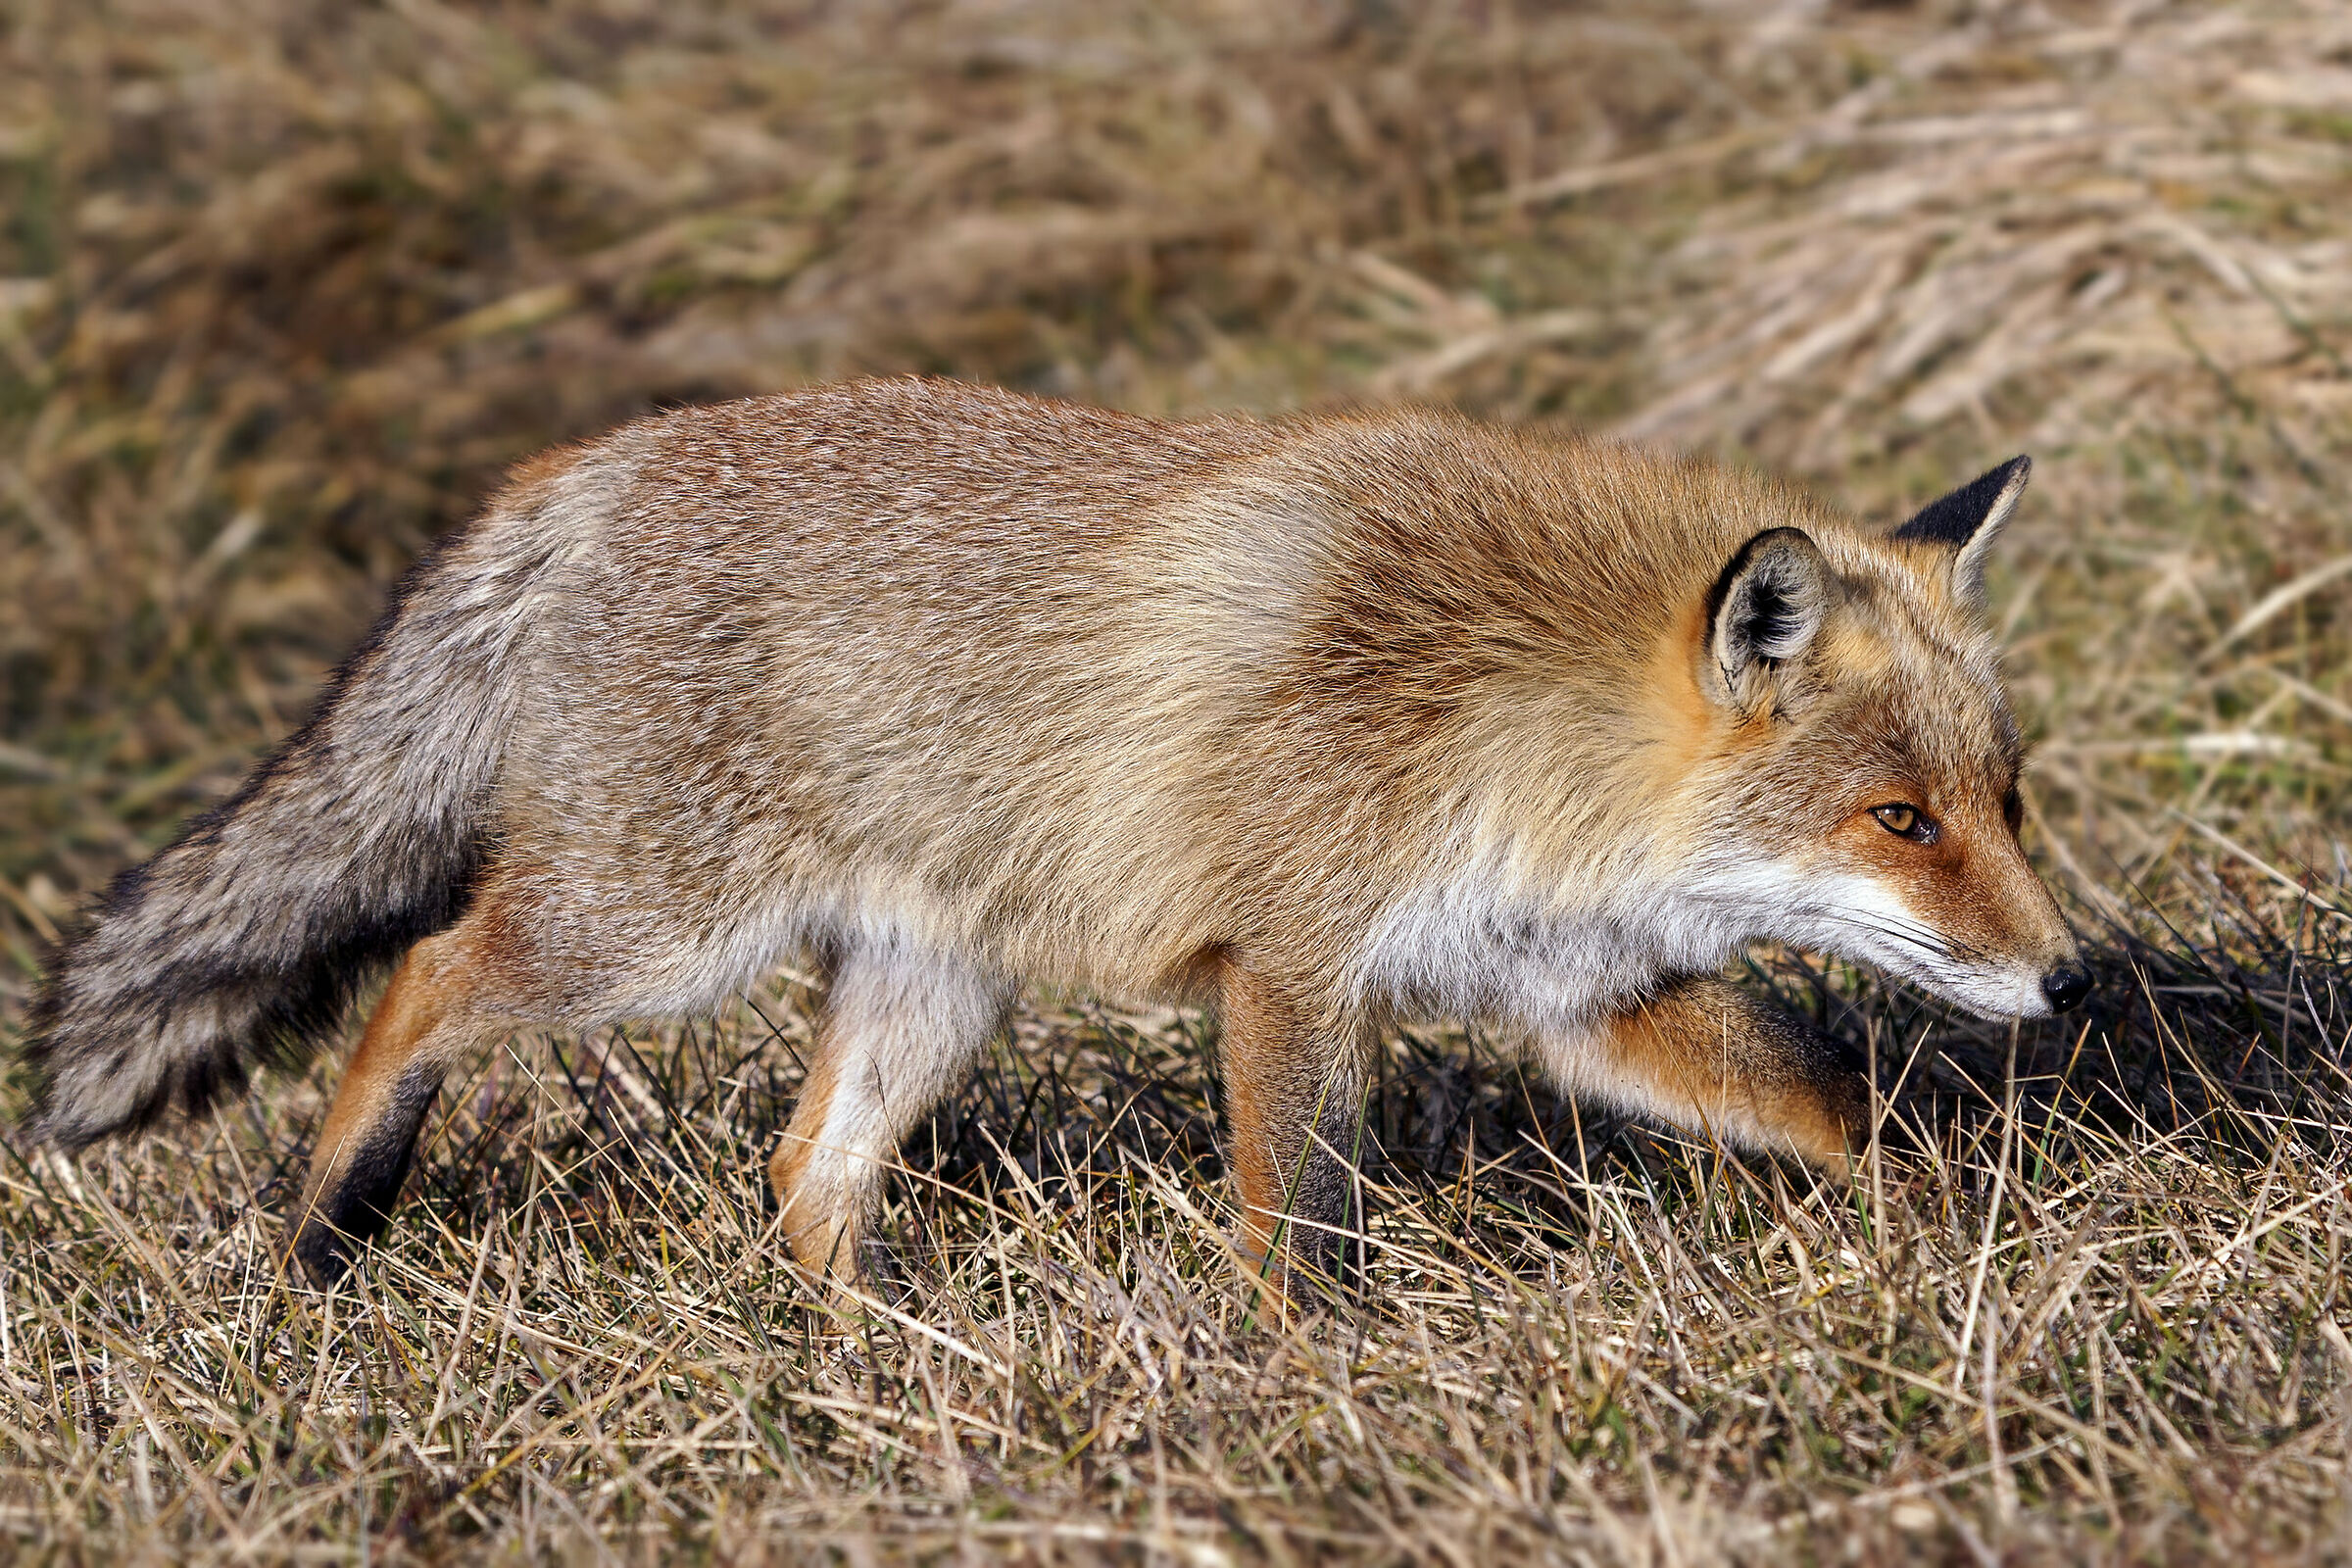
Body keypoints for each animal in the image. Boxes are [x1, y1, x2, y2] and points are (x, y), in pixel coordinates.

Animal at [20, 377, 2087, 1294]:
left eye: (2005, 800)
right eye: (1897, 820)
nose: (2069, 979)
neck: (1505, 723)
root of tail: (579, 465)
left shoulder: (1591, 997)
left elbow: (1829, 1094)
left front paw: (1957, 1236)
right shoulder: (1292, 968)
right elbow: (1299, 1224)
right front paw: (1307, 1393)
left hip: (932, 992)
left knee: (804, 1172)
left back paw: (864, 1374)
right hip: (645, 938)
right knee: (427, 977)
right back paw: (321, 1234)